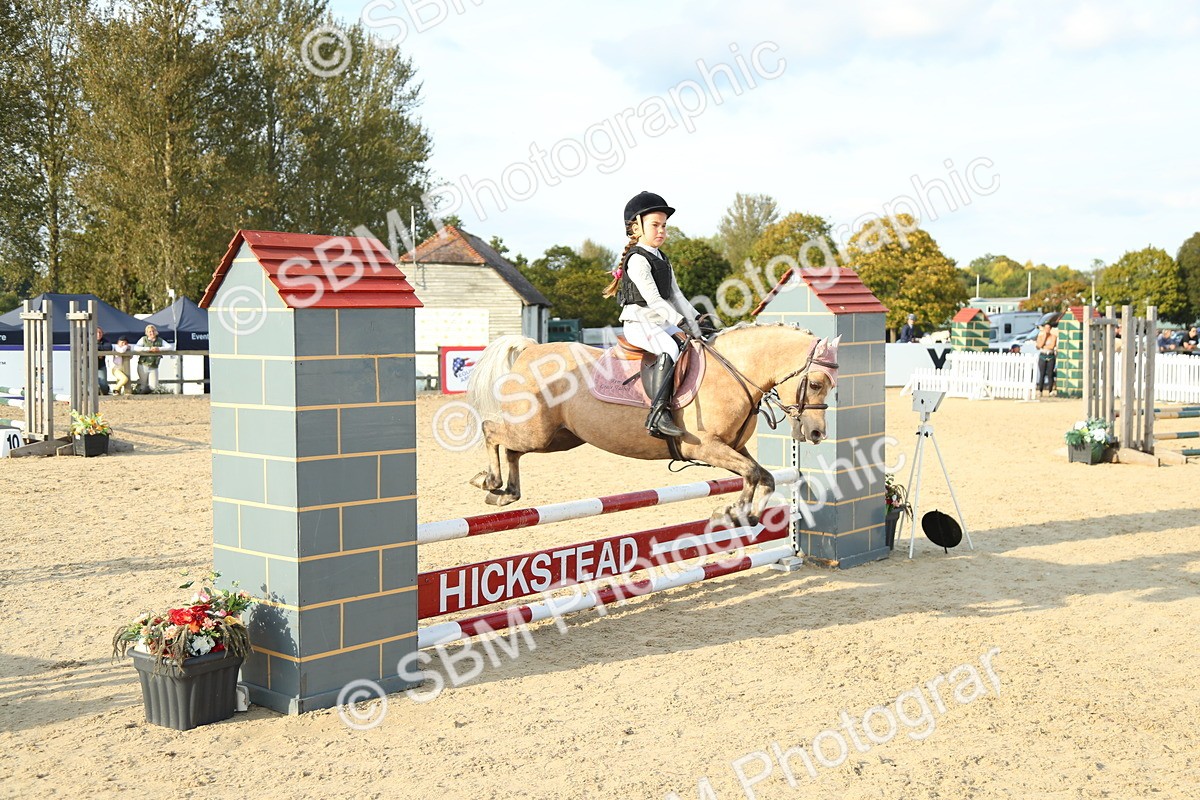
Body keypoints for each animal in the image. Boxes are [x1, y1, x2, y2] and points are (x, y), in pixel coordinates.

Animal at [465, 323, 839, 524]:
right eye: (816, 384)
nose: (816, 433)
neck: (733, 373)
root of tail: (529, 350)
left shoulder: (733, 448)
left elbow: (764, 477)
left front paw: (745, 514)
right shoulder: (705, 447)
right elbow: (750, 474)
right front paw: (731, 511)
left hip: (556, 438)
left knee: (512, 449)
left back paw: (505, 493)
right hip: (536, 433)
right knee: (492, 432)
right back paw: (490, 481)